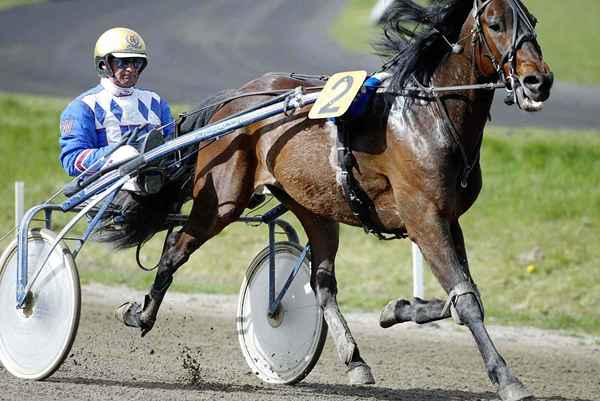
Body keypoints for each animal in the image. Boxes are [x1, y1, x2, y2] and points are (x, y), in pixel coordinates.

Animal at [109, 1, 552, 398]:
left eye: (532, 20)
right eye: (495, 24)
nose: (539, 81)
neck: (425, 117)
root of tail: (234, 100)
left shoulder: (447, 219)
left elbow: (463, 294)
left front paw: (396, 309)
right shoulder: (424, 218)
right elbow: (467, 300)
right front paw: (507, 378)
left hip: (314, 207)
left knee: (322, 283)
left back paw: (355, 360)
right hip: (221, 201)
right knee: (175, 248)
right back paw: (140, 314)